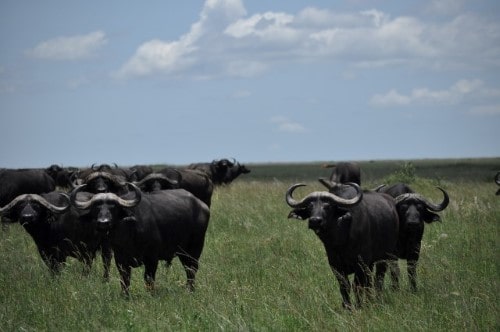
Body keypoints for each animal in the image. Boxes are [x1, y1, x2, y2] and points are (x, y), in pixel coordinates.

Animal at [71, 183, 211, 294]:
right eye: (96, 208)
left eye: (114, 207)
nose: (103, 222)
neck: (129, 233)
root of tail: (202, 205)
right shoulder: (120, 260)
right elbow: (125, 280)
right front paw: (125, 296)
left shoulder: (152, 259)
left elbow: (149, 279)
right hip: (182, 252)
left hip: (195, 248)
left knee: (192, 269)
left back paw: (190, 290)